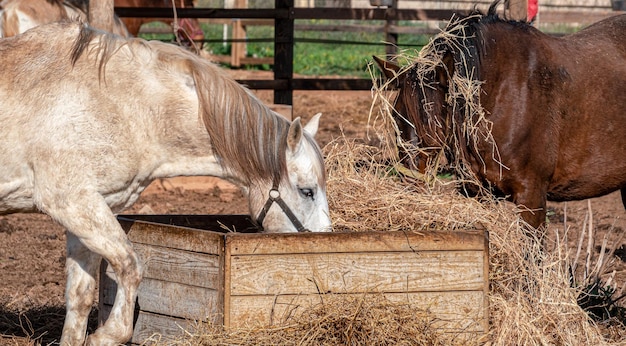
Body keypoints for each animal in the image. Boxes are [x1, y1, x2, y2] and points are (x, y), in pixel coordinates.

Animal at [0, 21, 332, 344]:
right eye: (307, 191)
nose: (325, 240)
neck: (128, 105)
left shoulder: (89, 209)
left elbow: (79, 297)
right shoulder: (70, 202)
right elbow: (130, 267)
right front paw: (107, 335)